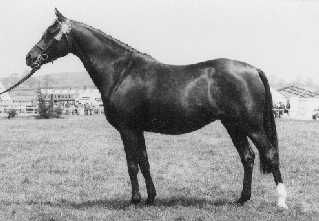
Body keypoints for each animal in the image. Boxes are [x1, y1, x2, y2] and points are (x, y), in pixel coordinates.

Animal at [6, 8, 290, 208]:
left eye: (50, 32)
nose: (30, 57)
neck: (121, 71)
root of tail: (253, 69)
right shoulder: (137, 130)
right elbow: (144, 162)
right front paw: (151, 198)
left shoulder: (128, 129)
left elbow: (132, 164)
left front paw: (134, 200)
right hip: (233, 125)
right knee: (248, 157)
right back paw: (241, 199)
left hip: (251, 125)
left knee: (270, 153)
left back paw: (281, 202)